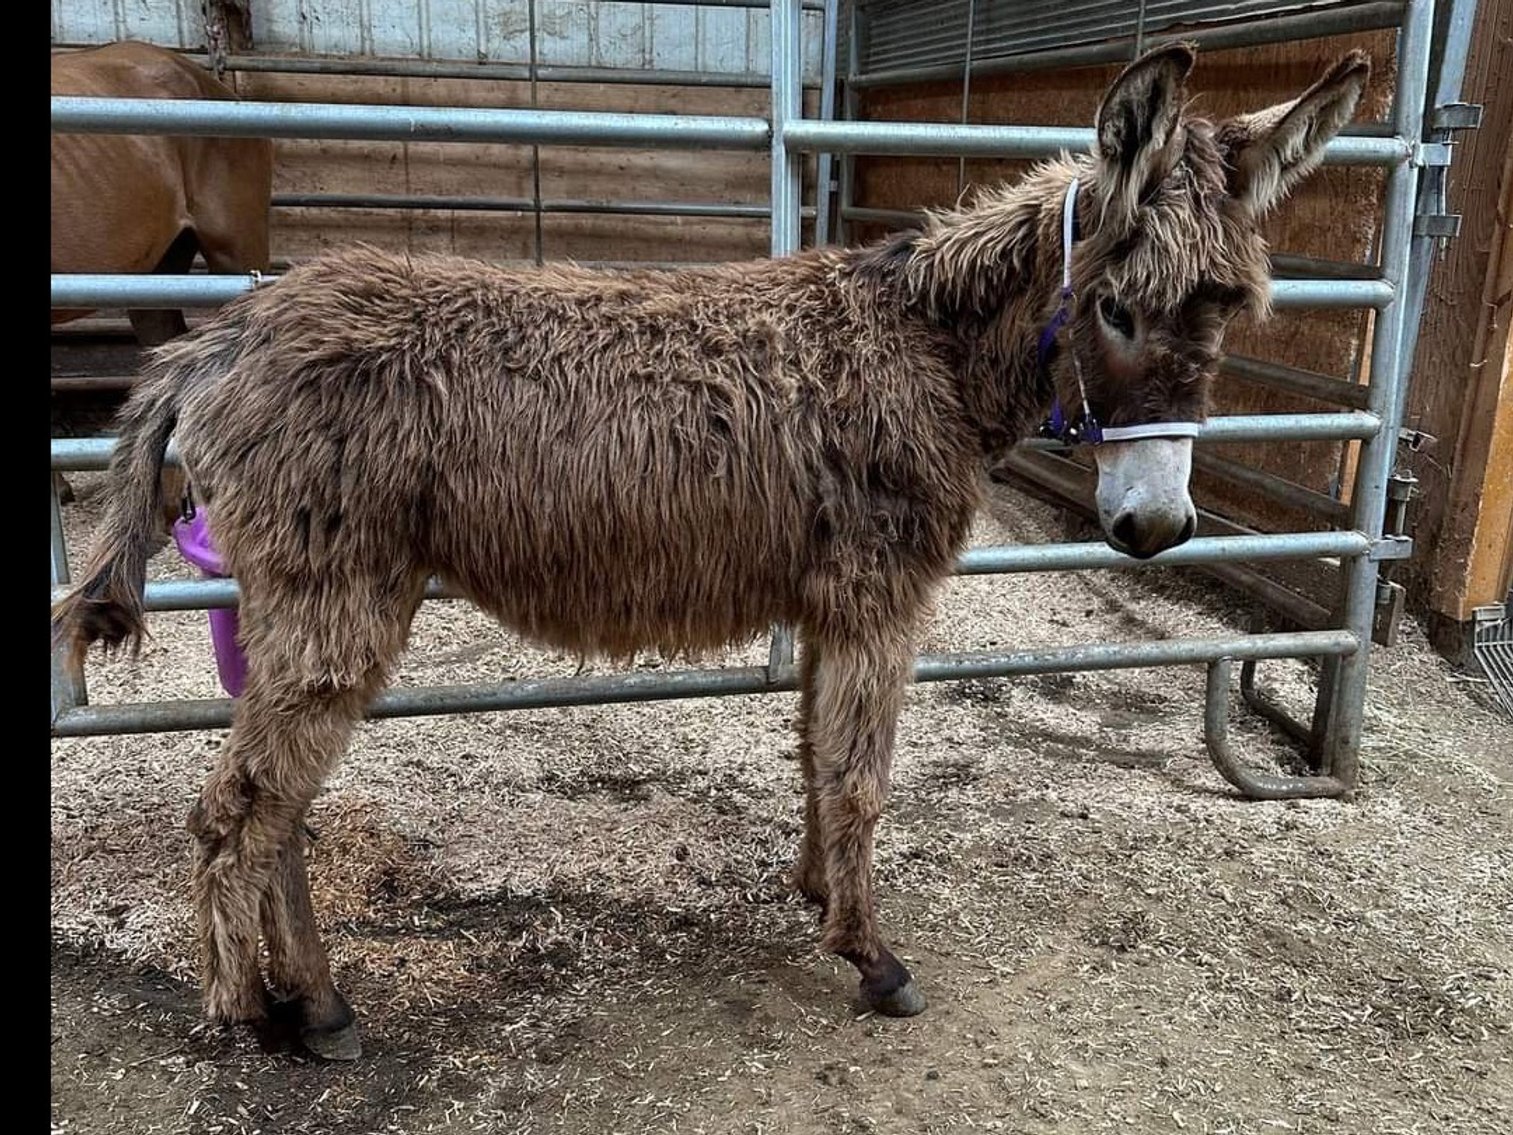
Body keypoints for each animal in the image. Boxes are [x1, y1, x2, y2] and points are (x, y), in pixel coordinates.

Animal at [54, 45, 1370, 1061]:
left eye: (1228, 313)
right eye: (1115, 309)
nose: (1155, 528)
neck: (927, 355)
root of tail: (224, 337)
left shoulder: (832, 598)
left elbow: (816, 758)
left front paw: (817, 898)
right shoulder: (879, 593)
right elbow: (861, 776)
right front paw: (871, 955)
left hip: (296, 604)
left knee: (272, 810)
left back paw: (315, 1003)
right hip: (338, 601)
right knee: (239, 812)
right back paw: (253, 1014)